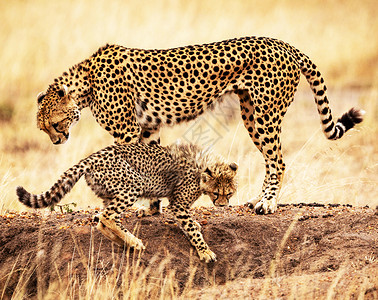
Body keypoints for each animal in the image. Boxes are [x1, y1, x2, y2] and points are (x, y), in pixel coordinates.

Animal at [37, 36, 364, 214]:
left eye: (55, 123)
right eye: (44, 128)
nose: (56, 141)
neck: (86, 81)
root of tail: (282, 43)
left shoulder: (127, 131)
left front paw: (133, 207)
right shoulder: (148, 129)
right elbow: (152, 166)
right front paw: (152, 209)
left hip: (266, 114)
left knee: (278, 161)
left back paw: (268, 204)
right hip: (250, 114)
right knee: (271, 160)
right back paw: (258, 199)